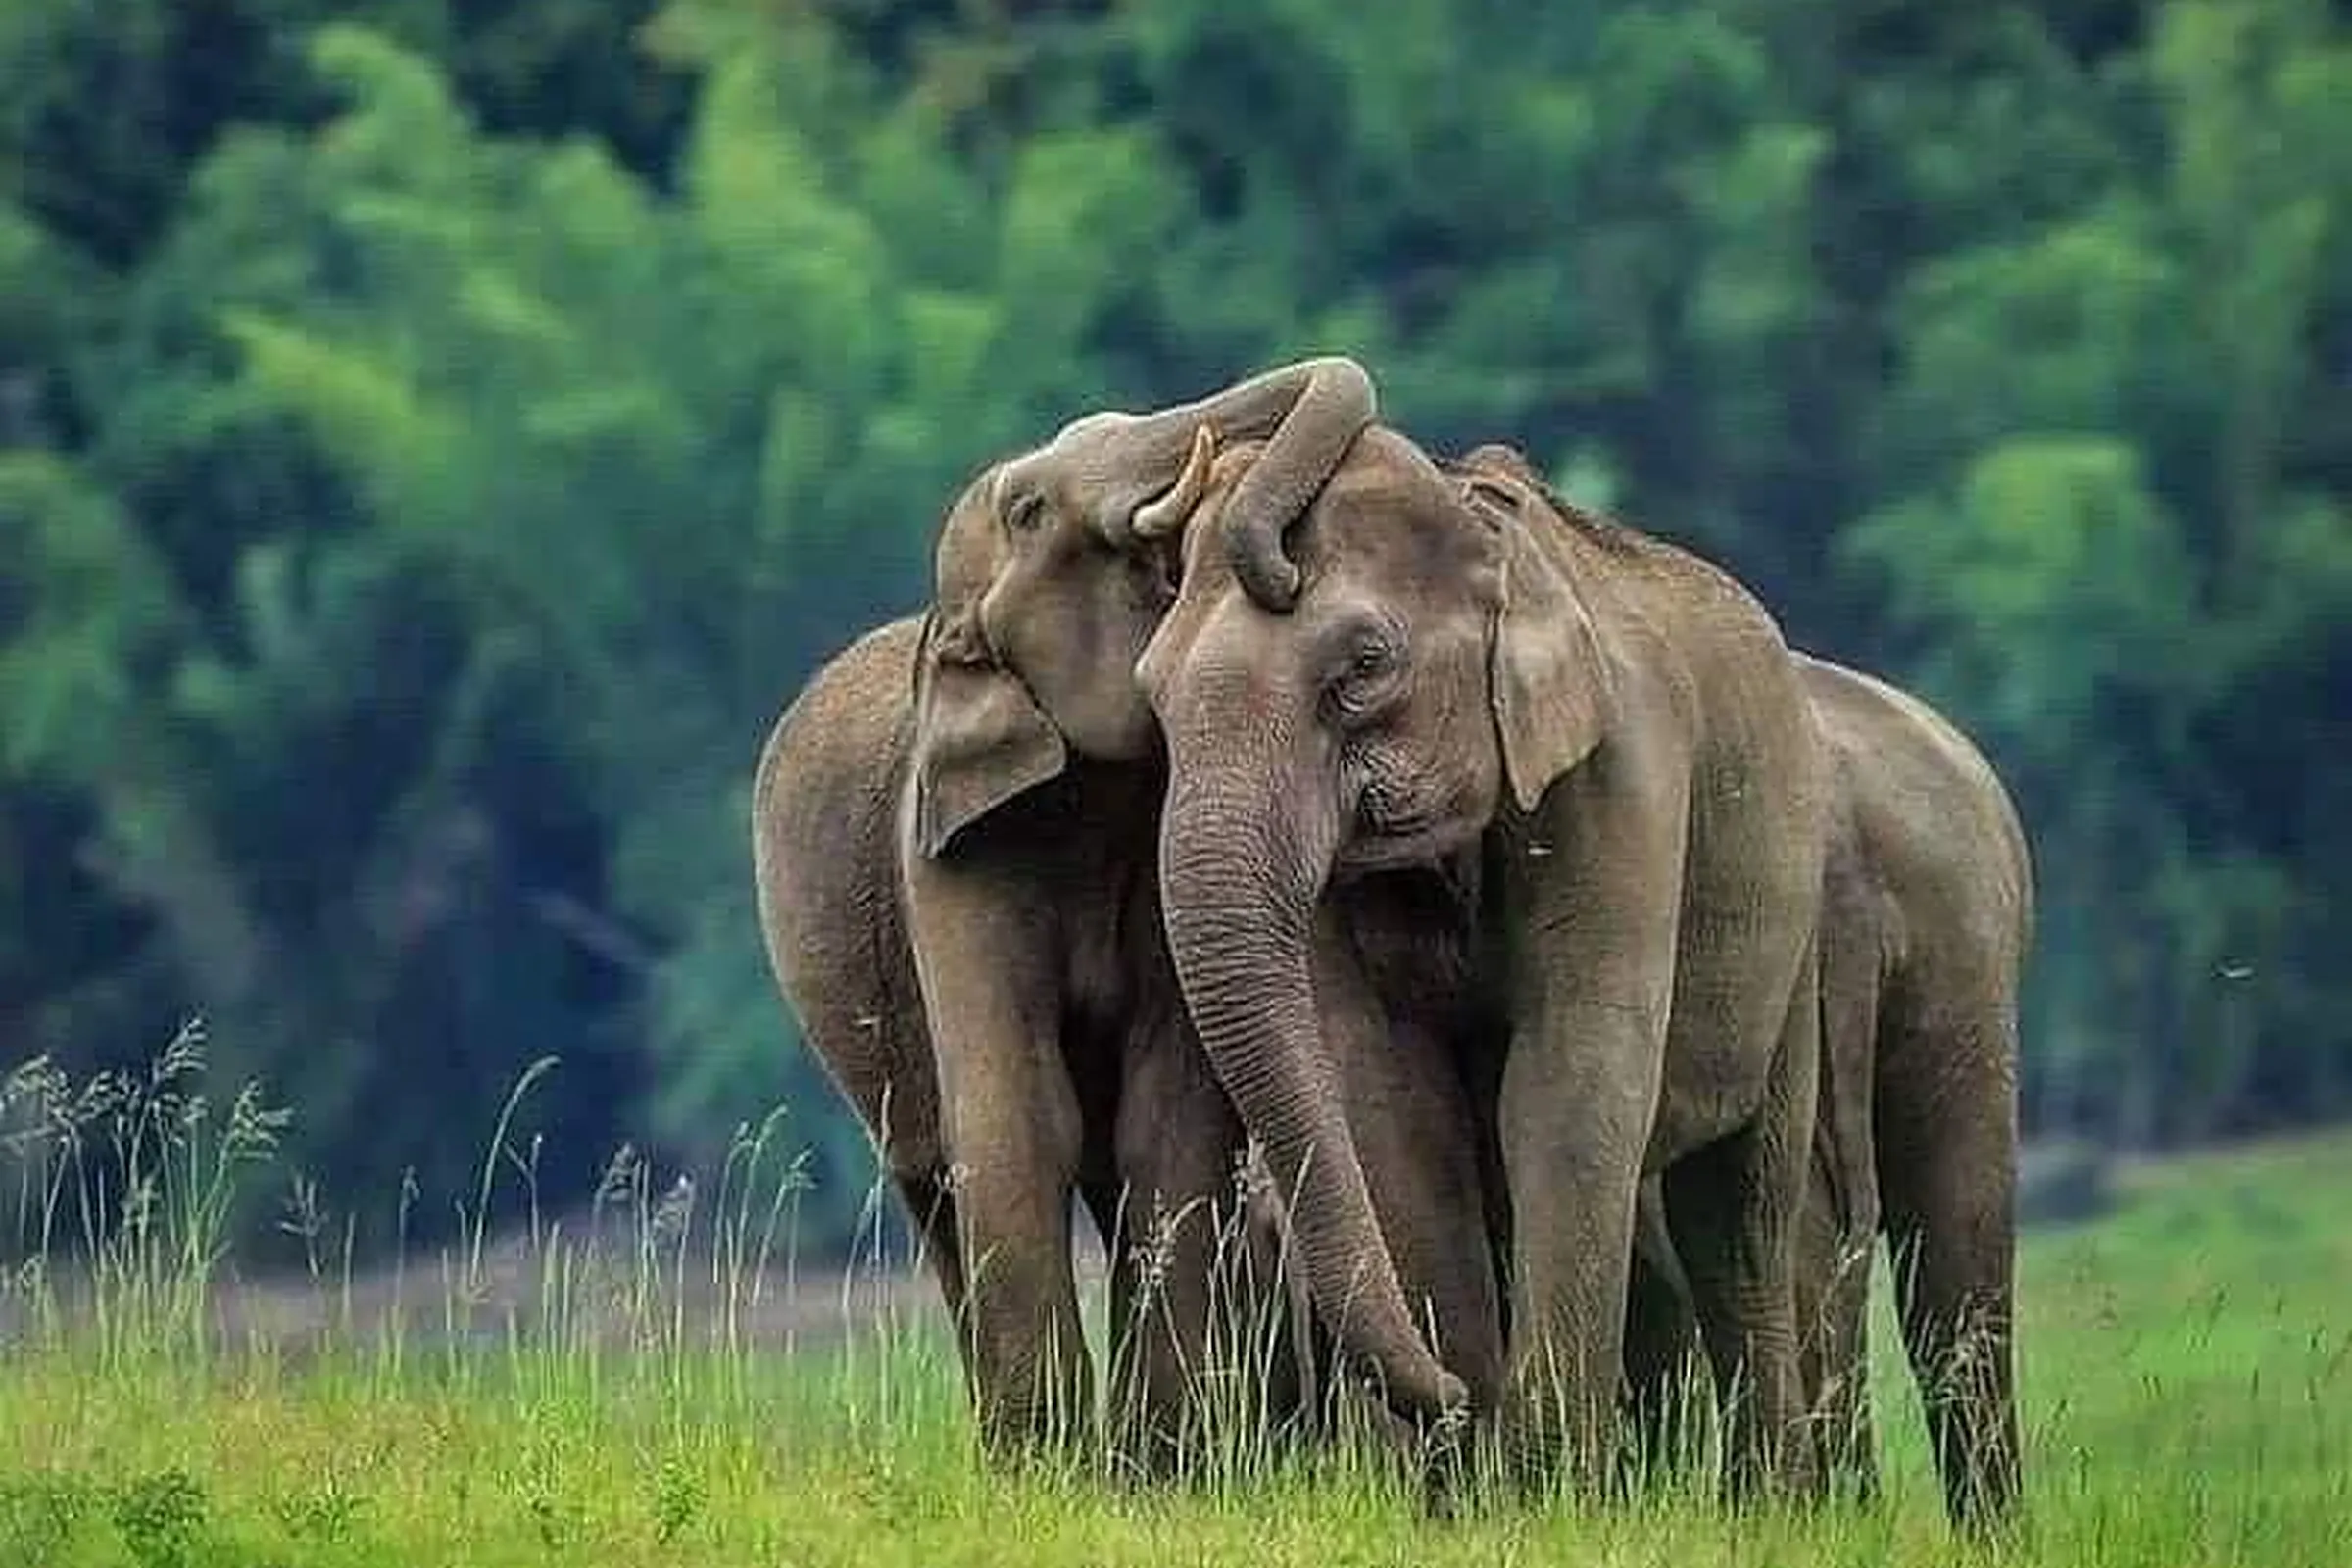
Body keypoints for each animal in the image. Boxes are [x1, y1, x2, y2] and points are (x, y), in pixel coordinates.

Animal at [750, 357, 1499, 1472]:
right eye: (1027, 509)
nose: (1454, 1402)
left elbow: (1167, 1116)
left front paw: (1156, 1473)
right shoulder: (949, 849)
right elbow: (1015, 1115)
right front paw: (1049, 1473)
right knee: (933, 1177)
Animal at [1131, 427, 1836, 1502]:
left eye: (1364, 665)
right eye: (1152, 695)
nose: (1453, 1395)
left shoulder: (1624, 780)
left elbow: (1570, 1085)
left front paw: (1552, 1496)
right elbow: (1391, 1102)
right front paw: (1469, 1496)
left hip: (1792, 933)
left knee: (1740, 1214)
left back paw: (1774, 1505)